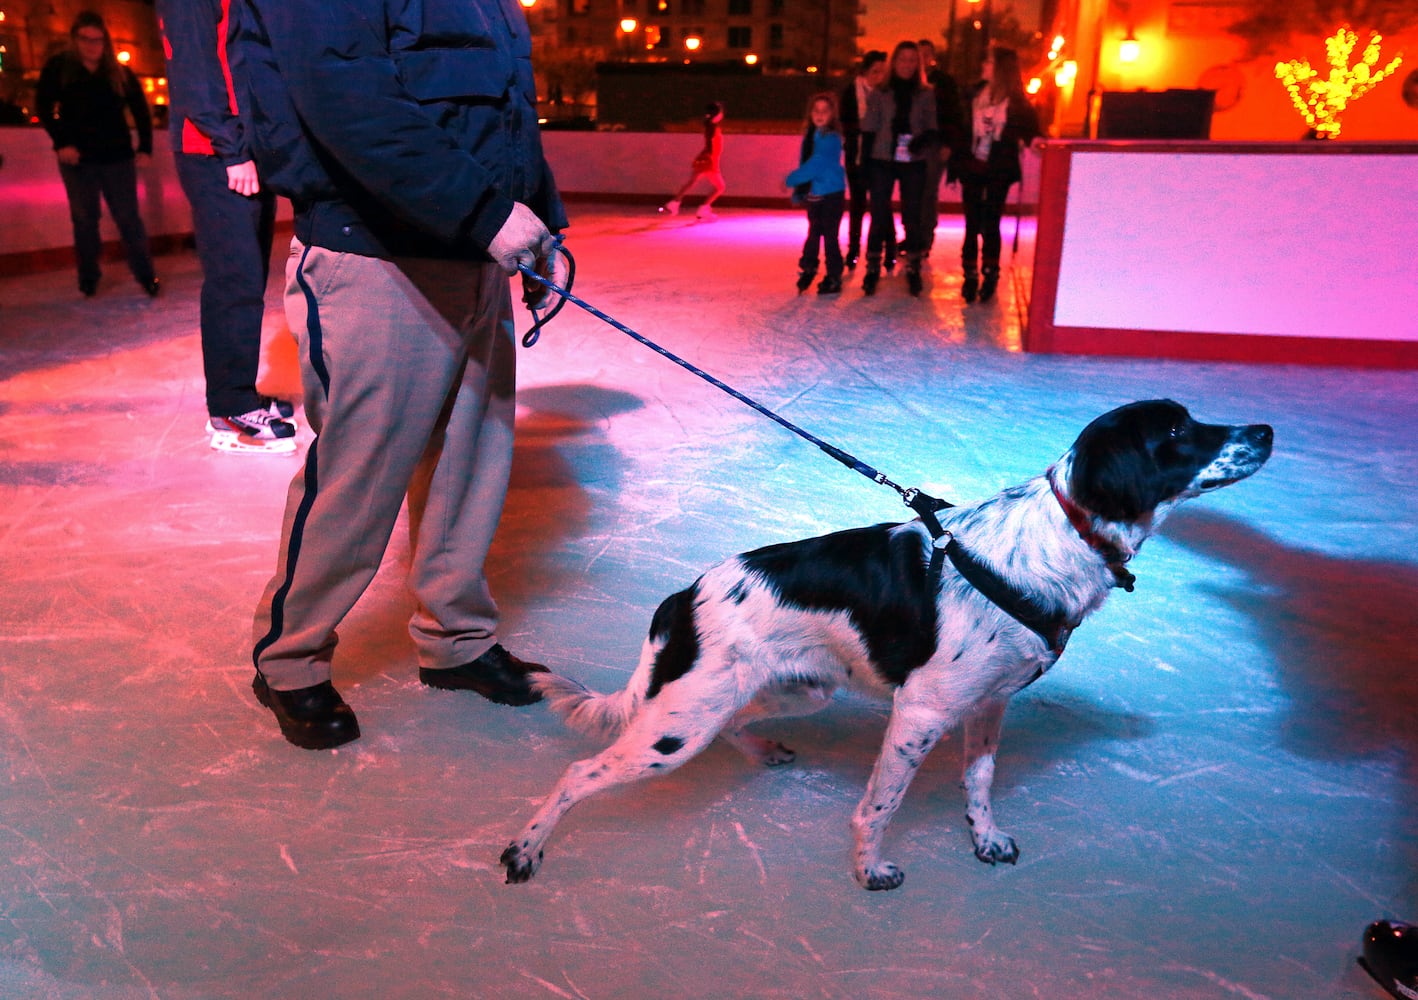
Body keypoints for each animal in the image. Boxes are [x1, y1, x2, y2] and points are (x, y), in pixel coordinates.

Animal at [501, 400, 1276, 890]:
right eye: (1176, 428)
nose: (1268, 430)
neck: (1056, 541)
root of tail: (686, 594)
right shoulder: (921, 714)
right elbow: (879, 805)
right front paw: (869, 870)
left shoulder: (987, 707)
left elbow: (979, 783)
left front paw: (984, 840)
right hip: (676, 729)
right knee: (580, 773)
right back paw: (525, 848)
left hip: (790, 692)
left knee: (738, 724)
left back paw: (764, 751)